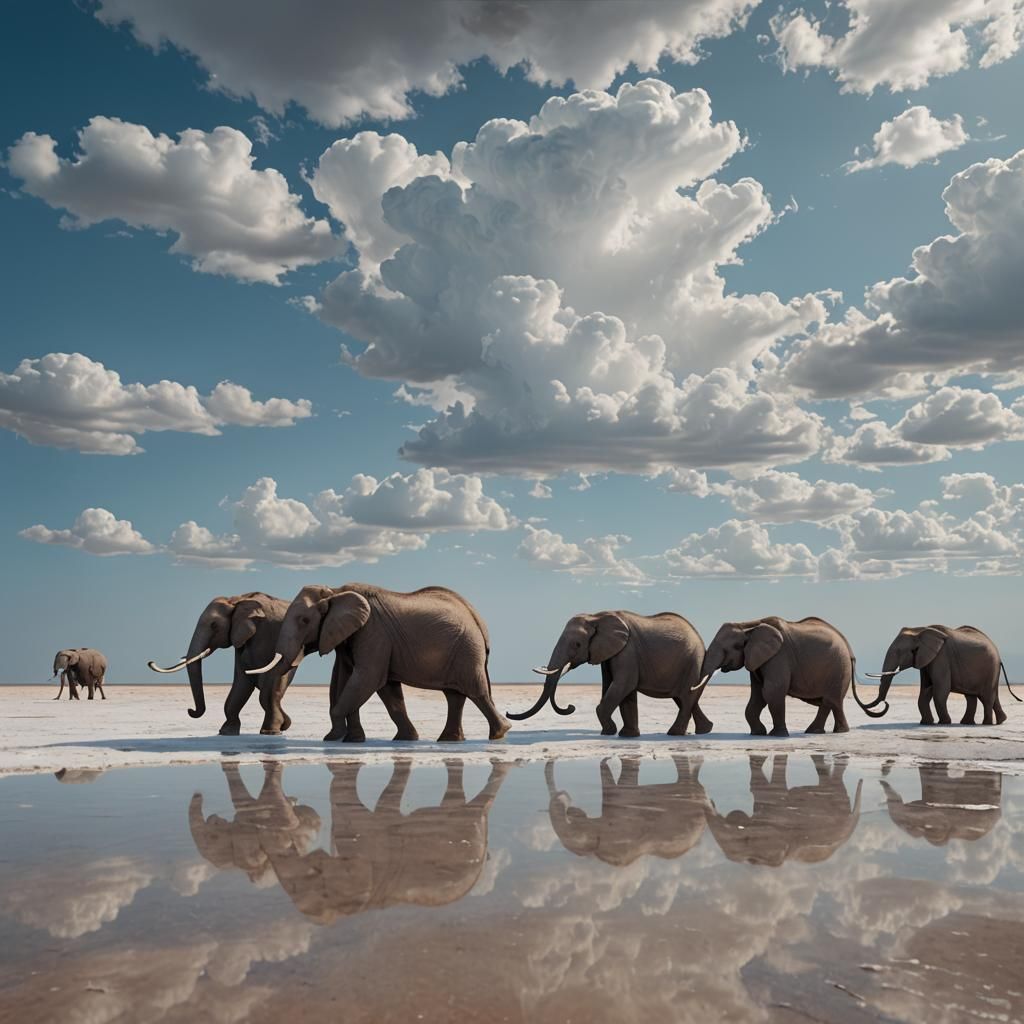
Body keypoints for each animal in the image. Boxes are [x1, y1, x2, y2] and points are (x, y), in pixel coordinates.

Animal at [148, 591, 306, 735]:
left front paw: (271, 731)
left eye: (214, 625)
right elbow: (242, 680)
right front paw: (226, 732)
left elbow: (265, 679)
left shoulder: (266, 633)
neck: (237, 600)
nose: (190, 710)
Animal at [247, 583, 507, 743]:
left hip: (466, 649)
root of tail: (478, 620)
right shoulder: (348, 637)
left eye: (304, 620)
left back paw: (500, 733)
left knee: (476, 691)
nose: (281, 728)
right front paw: (354, 739)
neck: (336, 591)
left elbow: (366, 678)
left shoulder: (373, 631)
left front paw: (333, 737)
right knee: (454, 695)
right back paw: (449, 740)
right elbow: (352, 681)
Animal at [508, 610, 711, 737]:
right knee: (683, 698)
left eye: (577, 644)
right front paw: (627, 736)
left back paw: (674, 733)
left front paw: (609, 732)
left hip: (693, 661)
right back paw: (704, 730)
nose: (570, 707)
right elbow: (620, 689)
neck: (596, 616)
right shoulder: (610, 653)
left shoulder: (627, 650)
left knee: (686, 697)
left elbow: (624, 684)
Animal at [697, 616, 879, 736]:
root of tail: (849, 648)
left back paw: (832, 732)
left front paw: (777, 735)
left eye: (730, 648)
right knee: (830, 702)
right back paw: (818, 732)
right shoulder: (757, 660)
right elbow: (757, 696)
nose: (709, 727)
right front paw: (758, 733)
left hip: (839, 667)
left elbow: (772, 691)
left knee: (831, 700)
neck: (749, 625)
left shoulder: (778, 656)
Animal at [861, 624, 1021, 726]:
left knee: (986, 696)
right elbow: (925, 690)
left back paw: (986, 724)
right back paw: (984, 722)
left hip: (990, 668)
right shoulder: (927, 660)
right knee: (976, 696)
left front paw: (944, 722)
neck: (920, 630)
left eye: (900, 652)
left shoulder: (941, 657)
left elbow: (940, 690)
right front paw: (926, 723)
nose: (886, 704)